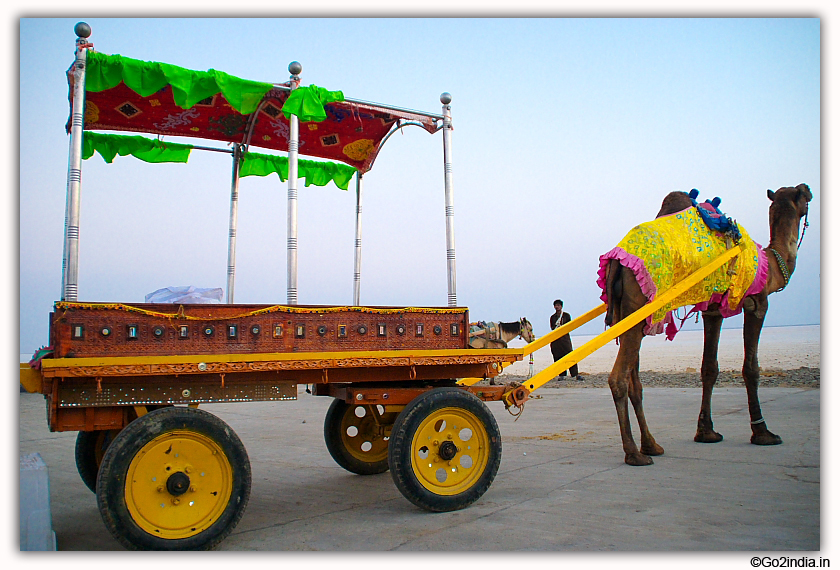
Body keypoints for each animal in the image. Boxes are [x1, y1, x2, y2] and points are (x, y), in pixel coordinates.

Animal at [600, 184, 812, 464]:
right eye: (803, 195)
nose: (809, 191)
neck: (771, 266)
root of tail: (616, 259)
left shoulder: (714, 311)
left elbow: (709, 368)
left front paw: (706, 432)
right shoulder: (757, 303)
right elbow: (751, 368)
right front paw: (763, 432)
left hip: (628, 315)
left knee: (635, 380)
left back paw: (651, 445)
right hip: (638, 307)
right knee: (619, 378)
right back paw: (634, 453)